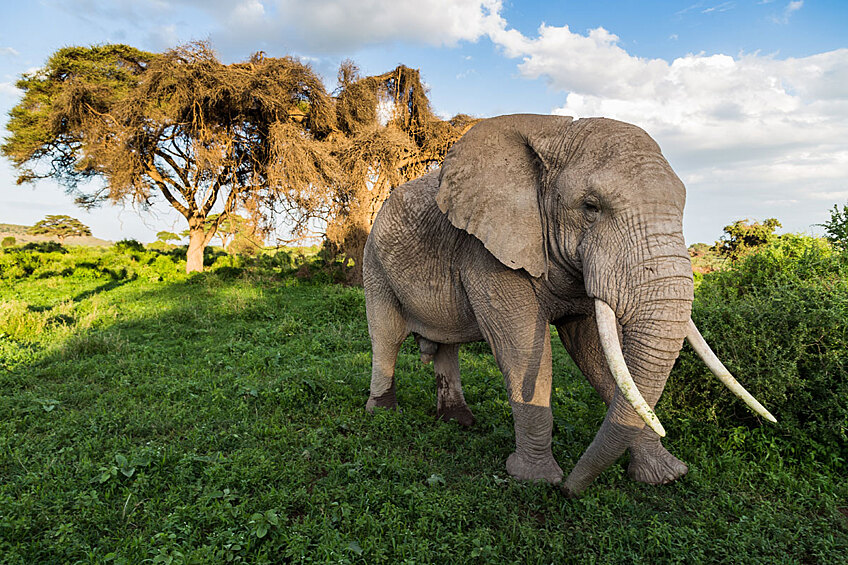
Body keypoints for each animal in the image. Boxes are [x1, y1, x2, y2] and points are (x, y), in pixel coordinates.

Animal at [360, 113, 776, 494]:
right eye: (591, 206)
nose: (572, 490)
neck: (556, 134)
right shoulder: (487, 250)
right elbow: (523, 352)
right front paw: (537, 480)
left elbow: (594, 352)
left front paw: (665, 476)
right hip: (374, 262)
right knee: (387, 337)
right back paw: (383, 414)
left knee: (447, 348)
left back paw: (459, 422)